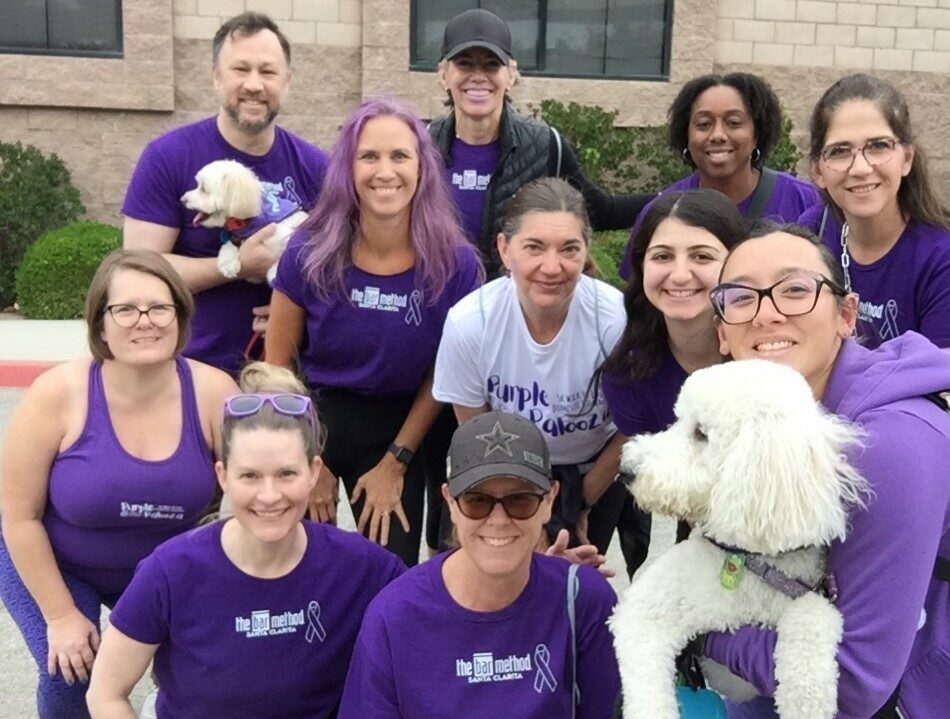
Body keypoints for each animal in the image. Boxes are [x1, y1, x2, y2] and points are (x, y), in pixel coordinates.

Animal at [179, 160, 308, 284]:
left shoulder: (286, 234)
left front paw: (274, 273)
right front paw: (228, 264)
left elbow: (286, 250)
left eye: (203, 189)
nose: (182, 200)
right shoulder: (235, 237)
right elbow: (227, 245)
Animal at [608, 360, 872, 719]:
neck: (751, 563)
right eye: (678, 420)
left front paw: (804, 700)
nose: (626, 470)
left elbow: (812, 620)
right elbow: (648, 693)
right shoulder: (645, 609)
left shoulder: (810, 593)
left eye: (701, 433)